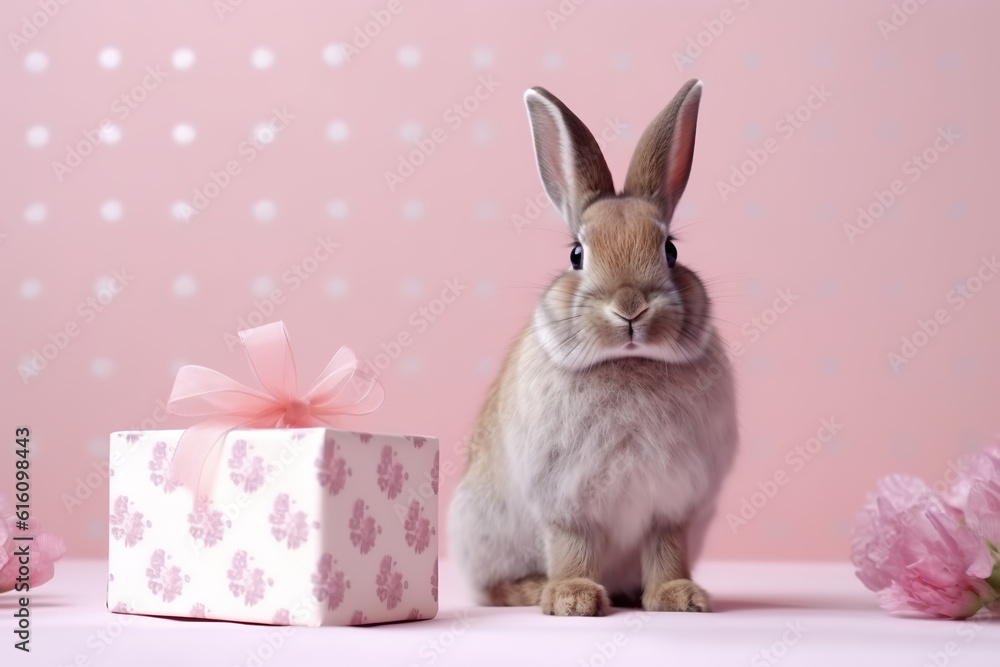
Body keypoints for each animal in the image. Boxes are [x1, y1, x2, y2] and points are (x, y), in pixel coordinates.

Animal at [449, 79, 738, 616]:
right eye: (576, 254)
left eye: (670, 250)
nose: (629, 308)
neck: (628, 363)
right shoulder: (566, 500)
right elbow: (572, 546)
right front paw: (573, 599)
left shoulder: (671, 504)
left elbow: (666, 548)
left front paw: (678, 596)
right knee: (491, 588)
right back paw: (533, 590)